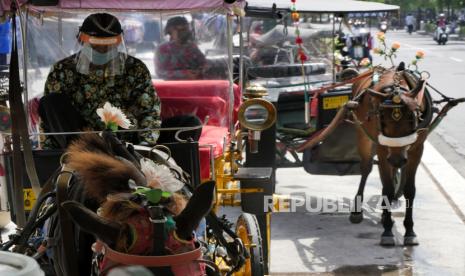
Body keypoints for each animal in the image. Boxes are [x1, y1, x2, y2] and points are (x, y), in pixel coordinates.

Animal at [346, 64, 430, 246]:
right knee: (366, 168)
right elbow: (388, 189)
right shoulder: (383, 149)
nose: (397, 160)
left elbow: (409, 190)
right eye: (383, 120)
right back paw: (359, 210)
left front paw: (409, 231)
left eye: (411, 120)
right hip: (363, 136)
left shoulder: (416, 149)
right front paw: (387, 231)